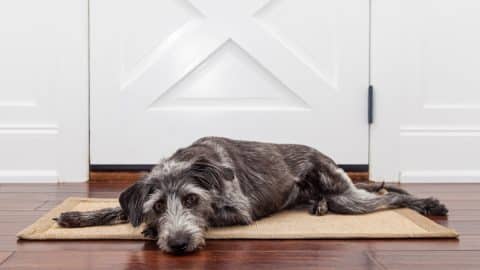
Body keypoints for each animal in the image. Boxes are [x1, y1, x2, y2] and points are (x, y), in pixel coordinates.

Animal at [54, 137, 448, 253]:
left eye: (192, 200)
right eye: (159, 205)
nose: (179, 244)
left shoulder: (239, 212)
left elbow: (216, 214)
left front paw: (153, 232)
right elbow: (117, 209)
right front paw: (75, 217)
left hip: (346, 198)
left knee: (390, 199)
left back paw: (427, 204)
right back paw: (317, 206)